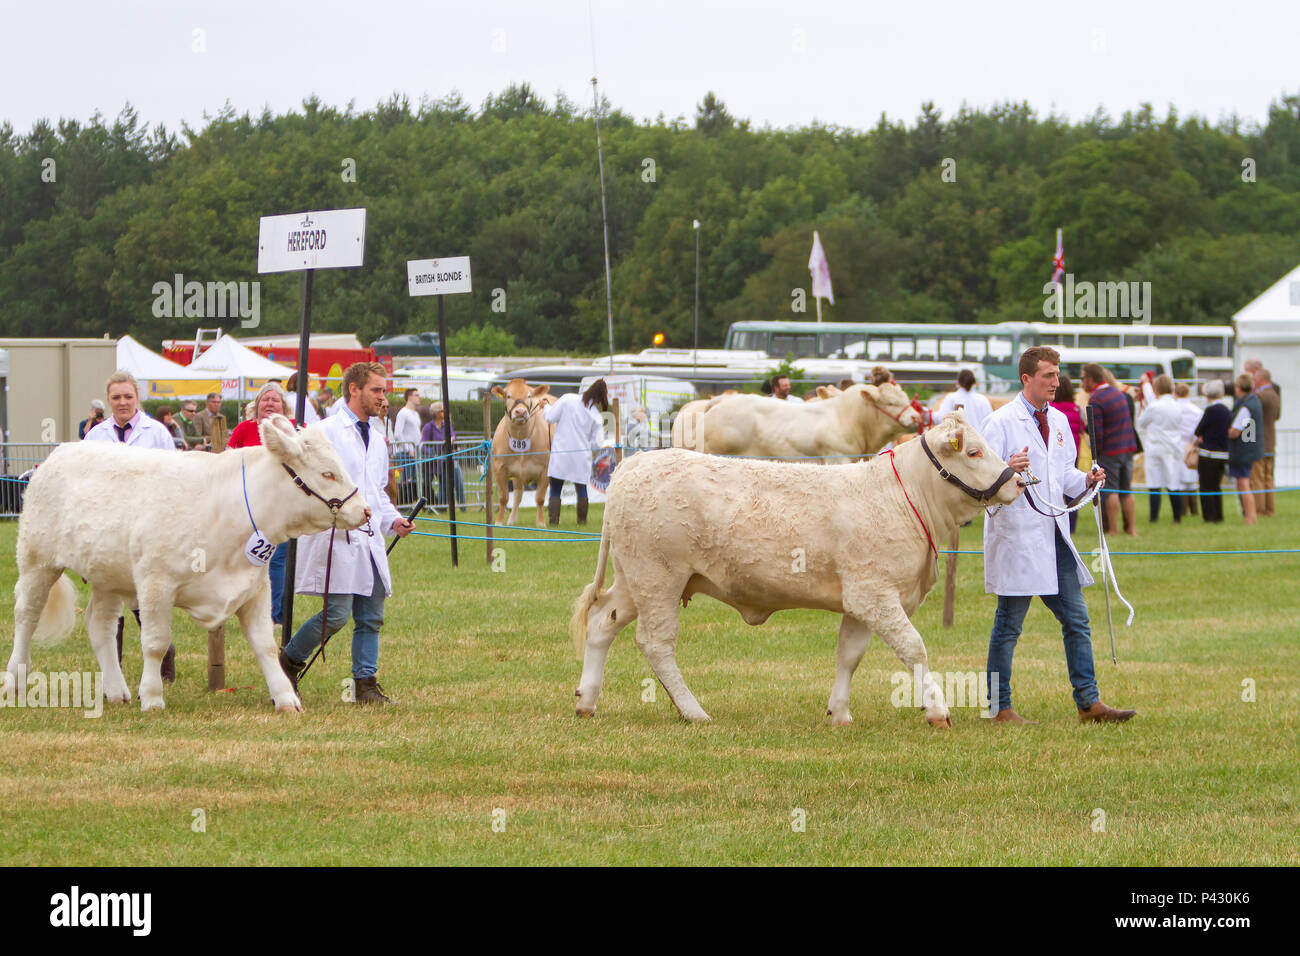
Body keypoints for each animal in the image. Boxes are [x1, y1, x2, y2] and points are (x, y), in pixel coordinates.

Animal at [5, 416, 371, 712]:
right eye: (327, 473)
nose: (365, 511)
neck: (227, 509)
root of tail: (59, 453)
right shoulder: (155, 582)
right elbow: (155, 643)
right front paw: (152, 698)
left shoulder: (255, 587)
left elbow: (264, 645)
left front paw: (285, 698)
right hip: (38, 559)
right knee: (26, 616)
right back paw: (15, 680)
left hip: (108, 574)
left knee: (100, 625)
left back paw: (116, 691)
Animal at [572, 408, 1024, 723]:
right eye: (974, 451)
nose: (1019, 481)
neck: (901, 496)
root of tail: (634, 464)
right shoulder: (876, 595)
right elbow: (914, 648)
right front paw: (937, 710)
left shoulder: (859, 601)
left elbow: (849, 655)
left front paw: (839, 712)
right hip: (658, 577)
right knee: (656, 643)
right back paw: (693, 711)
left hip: (635, 580)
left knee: (602, 621)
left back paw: (586, 701)